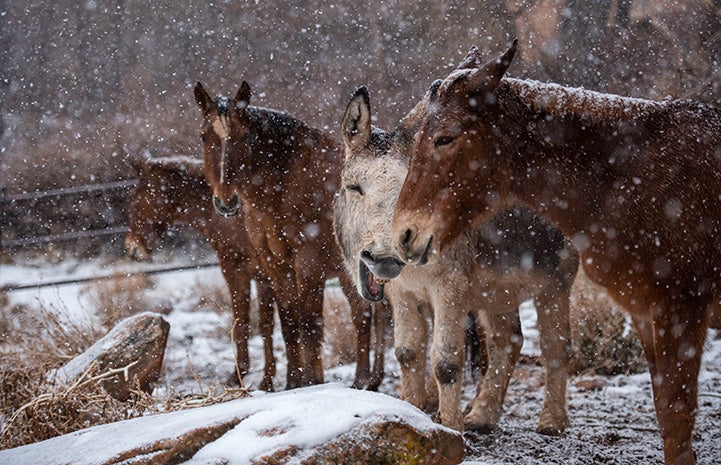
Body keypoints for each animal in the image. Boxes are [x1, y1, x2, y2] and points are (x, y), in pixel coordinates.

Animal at [125, 155, 277, 390]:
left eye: (135, 198)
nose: (132, 248)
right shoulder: (264, 278)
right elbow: (265, 325)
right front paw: (267, 378)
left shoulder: (236, 272)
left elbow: (241, 322)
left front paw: (240, 375)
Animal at [194, 82, 391, 390]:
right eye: (204, 136)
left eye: (245, 135)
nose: (226, 201)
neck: (283, 185)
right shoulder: (275, 266)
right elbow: (289, 322)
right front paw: (292, 383)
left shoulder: (307, 264)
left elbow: (309, 324)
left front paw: (312, 382)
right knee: (367, 316)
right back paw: (368, 380)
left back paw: (364, 380)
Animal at [334, 65, 578, 435]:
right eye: (354, 187)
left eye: (409, 188)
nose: (386, 257)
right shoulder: (404, 293)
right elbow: (408, 352)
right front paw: (413, 414)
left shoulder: (449, 287)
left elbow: (447, 362)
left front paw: (450, 429)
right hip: (499, 291)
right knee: (508, 341)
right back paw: (482, 415)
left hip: (556, 282)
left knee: (556, 347)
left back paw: (551, 420)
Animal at [391, 40, 721, 465]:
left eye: (445, 138)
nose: (403, 235)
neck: (631, 176)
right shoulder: (647, 313)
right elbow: (666, 411)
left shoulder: (680, 308)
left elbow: (677, 414)